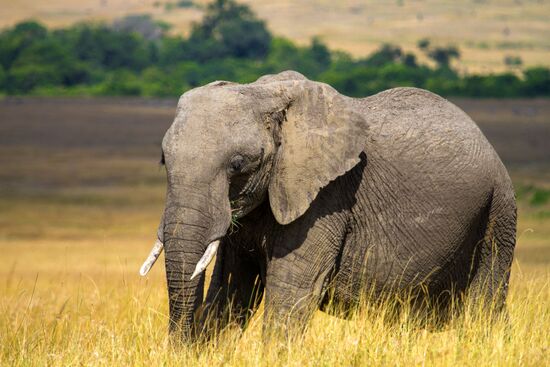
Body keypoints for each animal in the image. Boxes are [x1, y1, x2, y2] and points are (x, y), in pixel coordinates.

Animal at [138, 70, 516, 340]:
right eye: (163, 160)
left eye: (238, 165)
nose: (180, 344)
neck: (265, 93)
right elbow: (232, 292)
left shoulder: (327, 197)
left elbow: (290, 293)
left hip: (499, 212)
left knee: (484, 308)